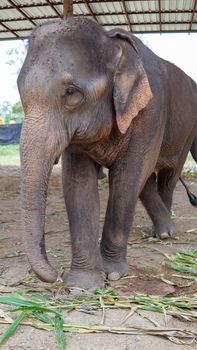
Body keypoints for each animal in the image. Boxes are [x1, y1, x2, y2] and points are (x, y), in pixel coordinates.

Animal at [17, 16, 197, 290]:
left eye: (71, 92)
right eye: (19, 90)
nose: (54, 275)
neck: (112, 42)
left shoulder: (150, 111)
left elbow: (127, 176)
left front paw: (112, 273)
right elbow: (78, 182)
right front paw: (82, 285)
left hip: (184, 132)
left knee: (167, 177)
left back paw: (165, 232)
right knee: (150, 179)